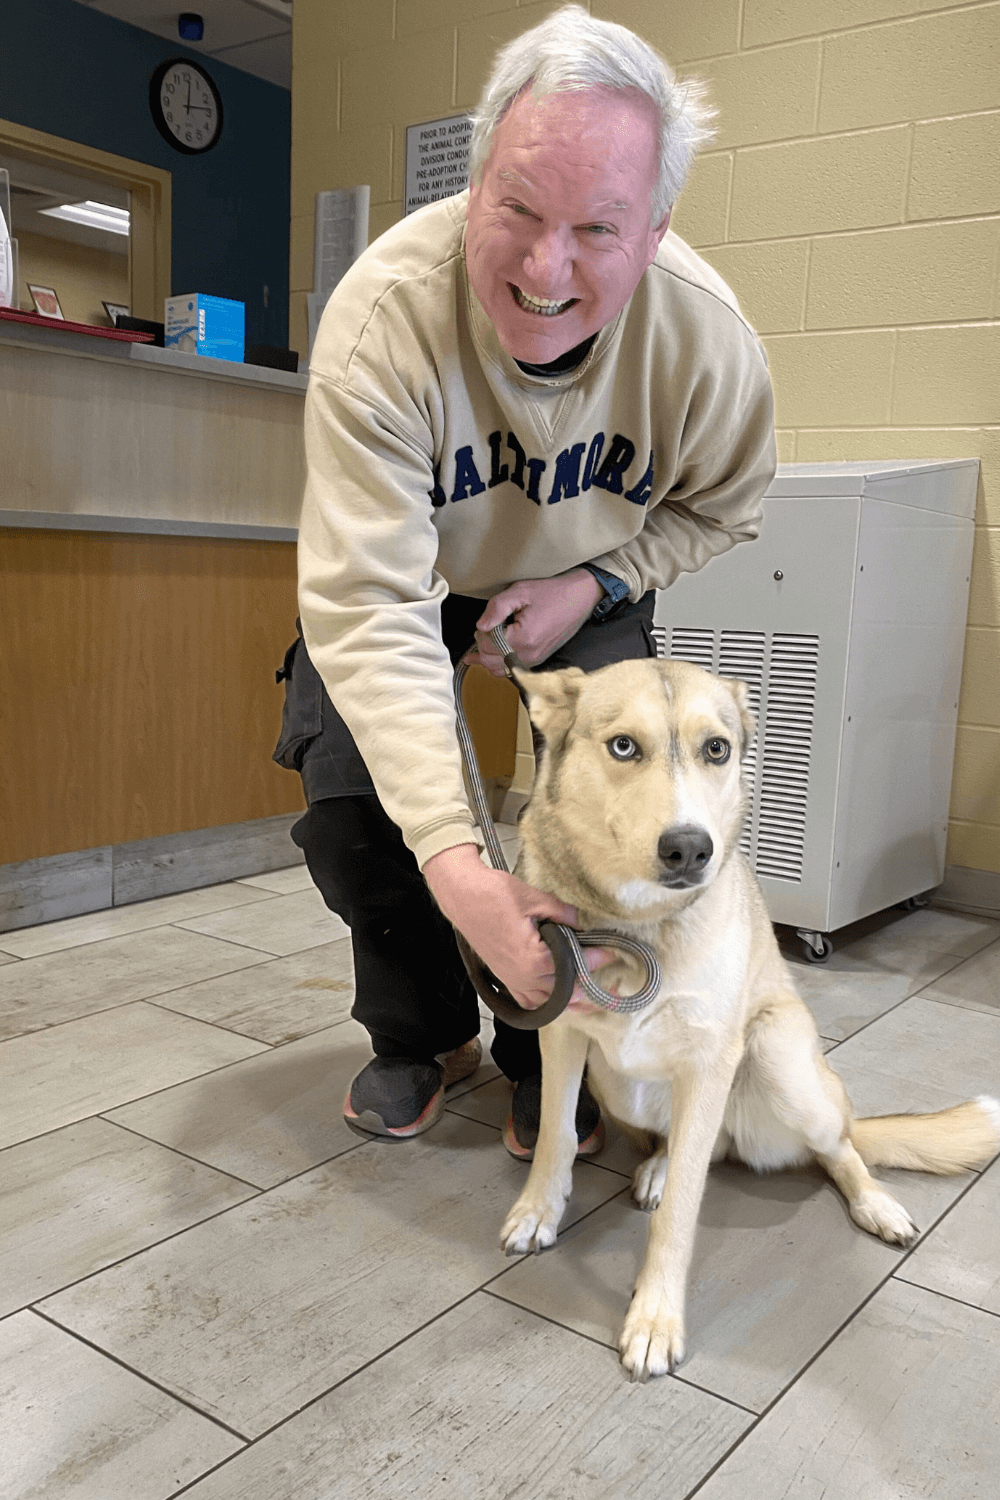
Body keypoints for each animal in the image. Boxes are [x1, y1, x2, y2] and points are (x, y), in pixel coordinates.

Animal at [500, 657, 1000, 1380]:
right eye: (623, 746)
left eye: (717, 749)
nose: (689, 849)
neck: (638, 929)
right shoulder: (563, 1036)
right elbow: (555, 1136)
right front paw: (540, 1211)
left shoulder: (711, 1059)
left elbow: (683, 1209)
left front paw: (656, 1317)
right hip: (614, 1083)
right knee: (691, 1146)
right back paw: (656, 1168)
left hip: (777, 1058)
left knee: (835, 1150)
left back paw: (875, 1203)